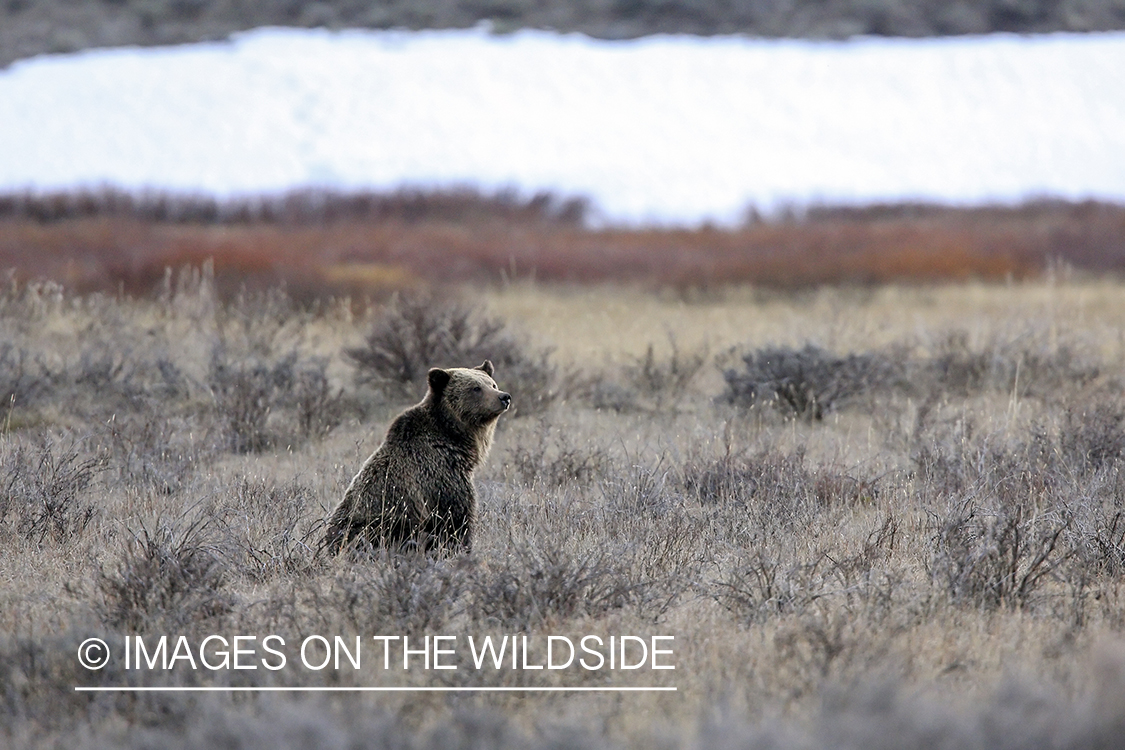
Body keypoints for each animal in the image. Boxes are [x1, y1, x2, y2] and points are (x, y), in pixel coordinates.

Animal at [324, 359, 513, 555]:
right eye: (476, 388)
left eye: (492, 384)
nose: (504, 397)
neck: (455, 439)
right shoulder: (439, 476)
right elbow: (456, 520)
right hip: (379, 525)